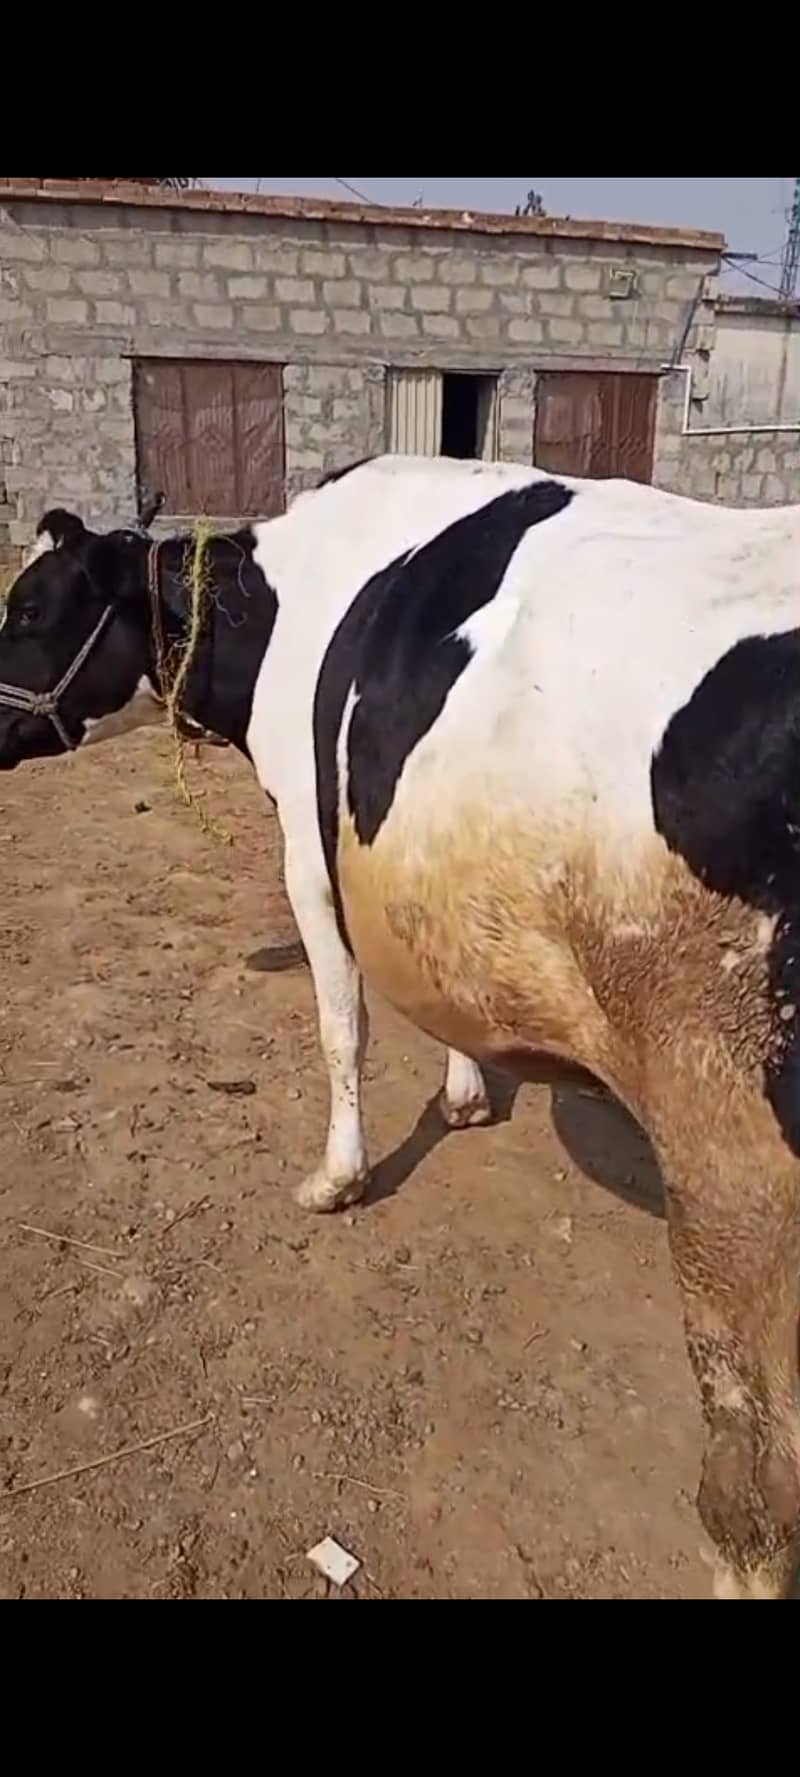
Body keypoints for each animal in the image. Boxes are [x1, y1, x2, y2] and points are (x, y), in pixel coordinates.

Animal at [0, 455, 798, 1601]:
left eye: (26, 607)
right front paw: (464, 1093)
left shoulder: (307, 842)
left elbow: (344, 1021)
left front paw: (338, 1176)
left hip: (730, 1157)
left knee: (752, 1494)